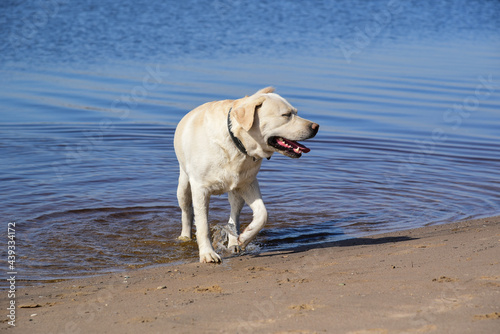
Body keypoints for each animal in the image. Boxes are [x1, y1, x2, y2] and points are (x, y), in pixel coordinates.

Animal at [174, 87, 318, 264]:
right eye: (286, 115)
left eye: (296, 113)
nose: (316, 126)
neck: (236, 142)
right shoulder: (200, 188)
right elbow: (202, 225)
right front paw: (208, 253)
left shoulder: (248, 183)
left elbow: (263, 214)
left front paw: (245, 238)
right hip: (183, 184)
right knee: (186, 210)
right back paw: (184, 237)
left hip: (236, 191)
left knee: (234, 215)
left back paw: (234, 242)